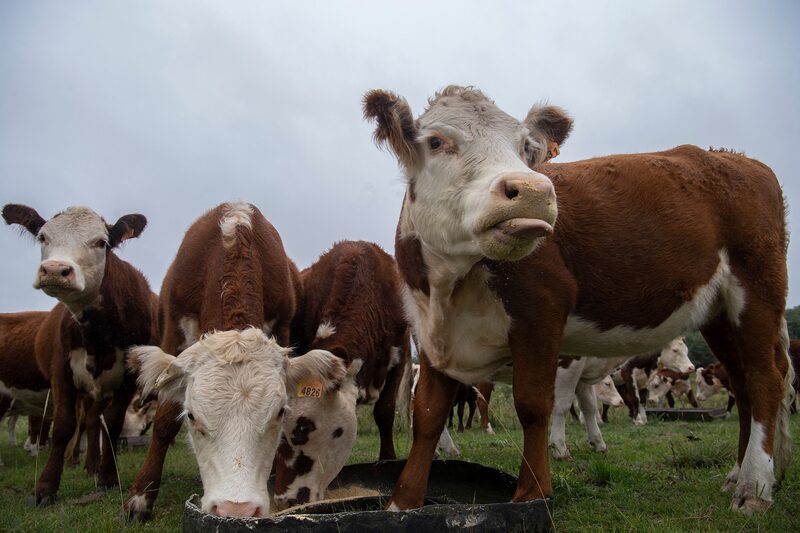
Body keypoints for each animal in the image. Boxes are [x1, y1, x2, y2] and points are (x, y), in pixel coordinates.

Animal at [2, 204, 158, 506]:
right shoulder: (61, 373)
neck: (98, 331)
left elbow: (112, 422)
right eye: (43, 237)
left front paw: (107, 477)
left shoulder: (127, 377)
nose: (54, 270)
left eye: (101, 243)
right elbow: (64, 425)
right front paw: (45, 488)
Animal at [124, 202, 345, 521]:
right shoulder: (174, 334)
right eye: (191, 416)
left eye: (280, 412)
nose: (236, 509)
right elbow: (164, 419)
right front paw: (141, 497)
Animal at [363, 85, 793, 513]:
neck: (451, 286)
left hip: (757, 290)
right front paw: (403, 502)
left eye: (525, 146)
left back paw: (754, 486)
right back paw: (737, 475)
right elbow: (428, 414)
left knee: (764, 379)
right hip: (721, 316)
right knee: (742, 383)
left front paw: (533, 493)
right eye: (437, 141)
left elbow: (535, 404)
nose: (533, 191)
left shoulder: (541, 316)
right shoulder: (430, 333)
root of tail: (736, 158)